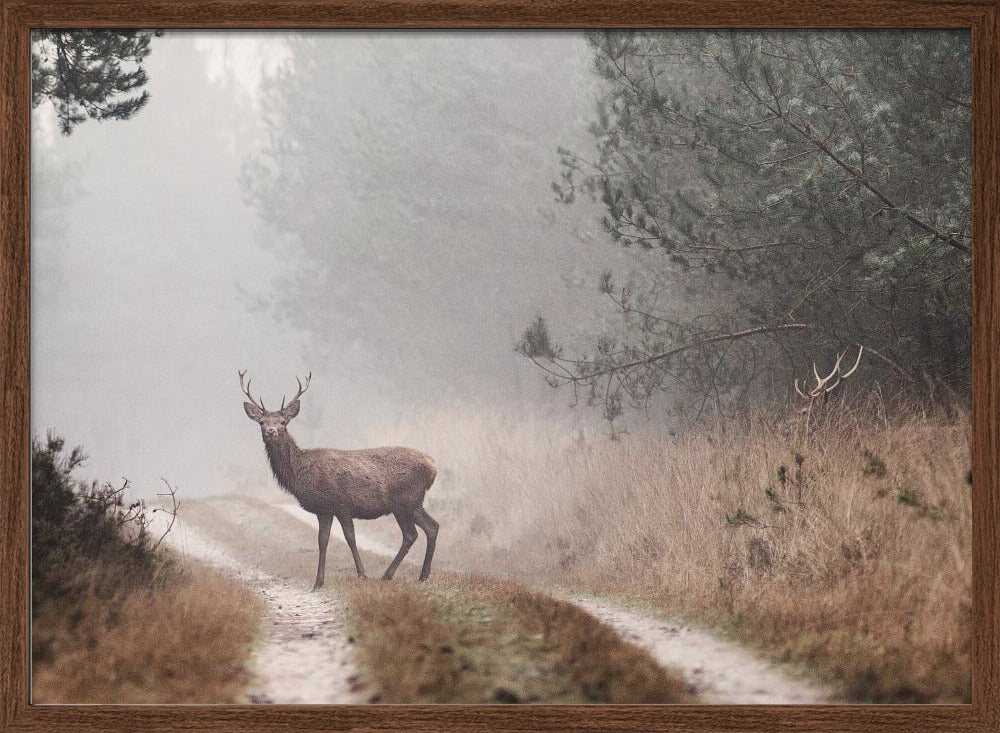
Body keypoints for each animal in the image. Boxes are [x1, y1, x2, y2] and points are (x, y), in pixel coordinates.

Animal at [239, 370, 440, 588]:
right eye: (262, 422)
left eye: (283, 422)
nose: (271, 431)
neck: (301, 475)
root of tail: (433, 467)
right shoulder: (324, 510)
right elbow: (322, 541)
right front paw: (318, 582)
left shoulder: (342, 504)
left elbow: (350, 538)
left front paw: (362, 574)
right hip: (413, 502)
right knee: (431, 527)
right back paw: (422, 576)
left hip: (404, 501)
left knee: (411, 534)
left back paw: (389, 574)